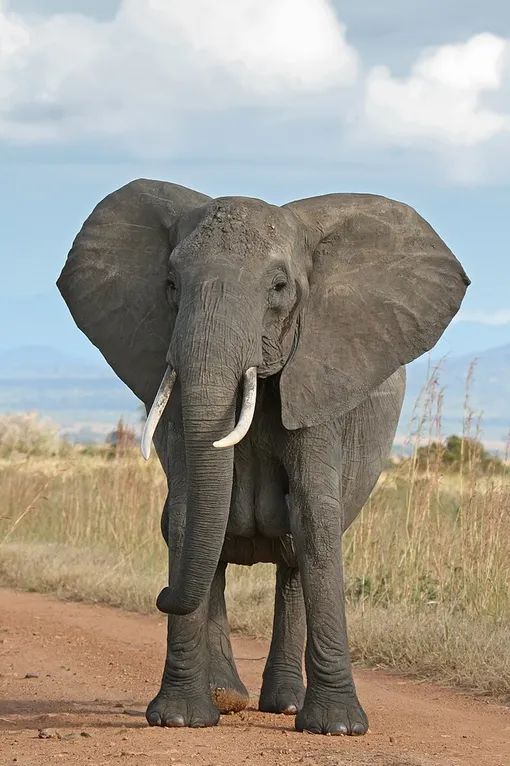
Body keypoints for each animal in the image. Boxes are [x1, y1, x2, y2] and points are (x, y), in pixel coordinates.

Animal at [57, 178, 468, 736]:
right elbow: (186, 514)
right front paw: (180, 719)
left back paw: (285, 707)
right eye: (171, 284)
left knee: (295, 553)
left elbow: (315, 516)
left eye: (278, 287)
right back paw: (227, 697)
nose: (160, 596)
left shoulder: (321, 377)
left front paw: (338, 728)